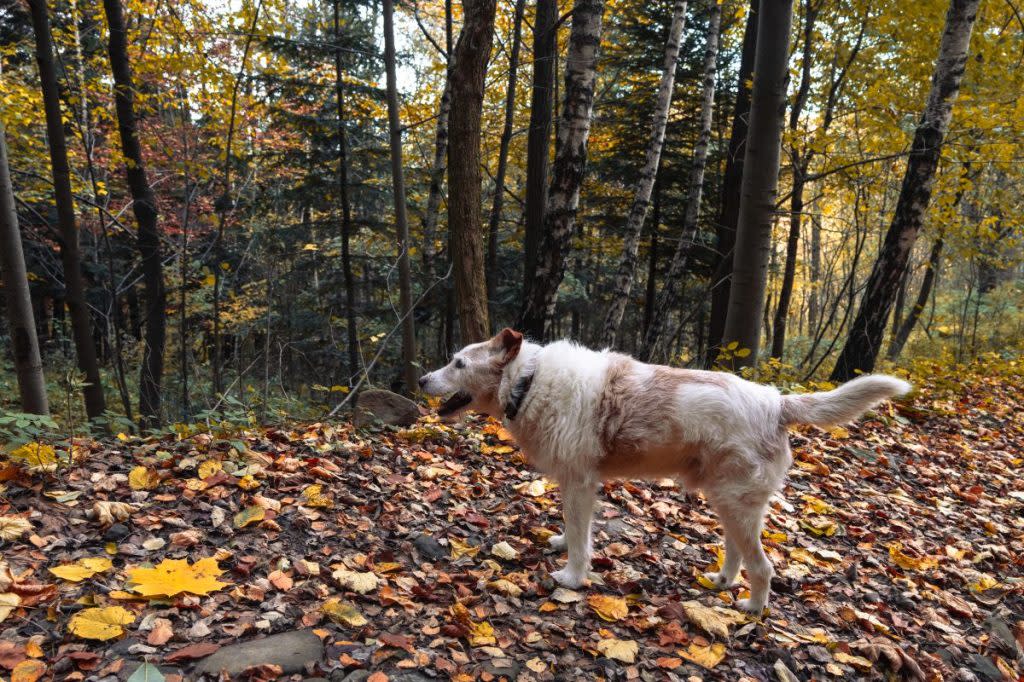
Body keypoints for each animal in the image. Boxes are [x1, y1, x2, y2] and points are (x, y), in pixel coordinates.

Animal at [415, 327, 913, 614]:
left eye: (458, 363)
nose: (420, 380)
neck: (529, 381)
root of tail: (776, 403)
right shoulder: (573, 485)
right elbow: (571, 530)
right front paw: (559, 542)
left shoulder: (580, 484)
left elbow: (580, 539)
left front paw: (572, 577)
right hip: (727, 502)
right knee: (736, 553)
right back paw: (722, 581)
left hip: (736, 505)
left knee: (763, 566)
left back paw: (752, 609)